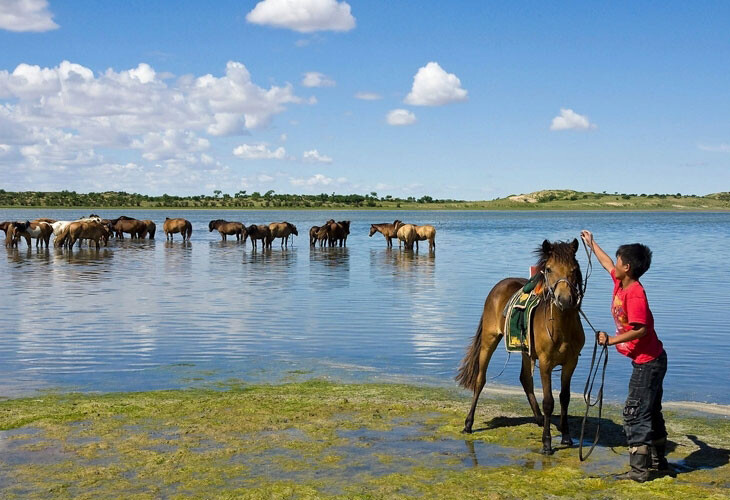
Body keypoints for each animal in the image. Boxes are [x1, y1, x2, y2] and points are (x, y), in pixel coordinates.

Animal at [456, 240, 584, 456]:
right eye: (549, 269)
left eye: (574, 269)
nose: (565, 299)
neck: (561, 327)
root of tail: (501, 285)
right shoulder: (546, 364)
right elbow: (549, 401)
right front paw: (547, 443)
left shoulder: (571, 363)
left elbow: (564, 398)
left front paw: (566, 436)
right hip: (489, 340)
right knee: (480, 380)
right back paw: (468, 423)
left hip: (525, 351)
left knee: (525, 379)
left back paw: (539, 418)